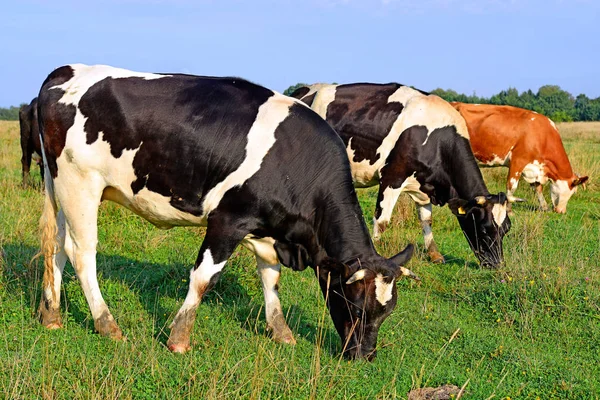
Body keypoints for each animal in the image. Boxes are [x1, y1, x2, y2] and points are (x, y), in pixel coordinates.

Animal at [36, 65, 418, 360]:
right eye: (357, 305)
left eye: (388, 311)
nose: (364, 355)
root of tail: (67, 70)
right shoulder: (228, 220)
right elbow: (204, 277)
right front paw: (179, 339)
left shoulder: (265, 229)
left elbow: (271, 277)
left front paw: (282, 332)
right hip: (81, 185)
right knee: (81, 252)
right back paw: (107, 324)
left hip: (61, 189)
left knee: (55, 246)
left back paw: (51, 315)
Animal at [288, 82, 512, 268]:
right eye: (484, 229)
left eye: (506, 229)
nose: (497, 264)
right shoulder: (391, 177)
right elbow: (382, 221)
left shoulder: (425, 185)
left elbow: (426, 219)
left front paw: (435, 254)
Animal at [452, 104, 588, 214]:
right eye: (572, 192)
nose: (561, 211)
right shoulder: (518, 161)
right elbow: (511, 187)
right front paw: (509, 210)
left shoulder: (533, 167)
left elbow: (537, 188)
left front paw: (544, 207)